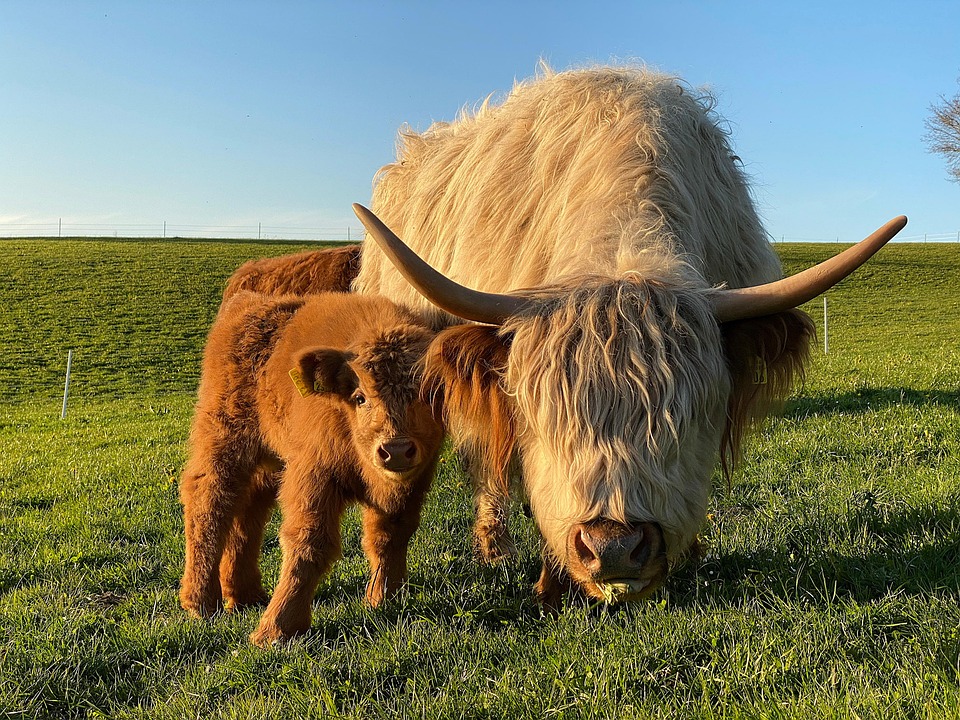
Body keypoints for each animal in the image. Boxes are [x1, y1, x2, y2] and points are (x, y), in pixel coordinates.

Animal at [178, 290, 444, 645]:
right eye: (360, 397)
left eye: (426, 393)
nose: (396, 450)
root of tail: (245, 302)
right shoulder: (313, 475)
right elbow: (309, 542)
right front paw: (276, 629)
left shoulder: (414, 481)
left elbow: (390, 534)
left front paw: (382, 598)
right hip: (224, 438)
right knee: (210, 502)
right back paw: (202, 602)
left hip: (268, 459)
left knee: (249, 510)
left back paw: (245, 595)